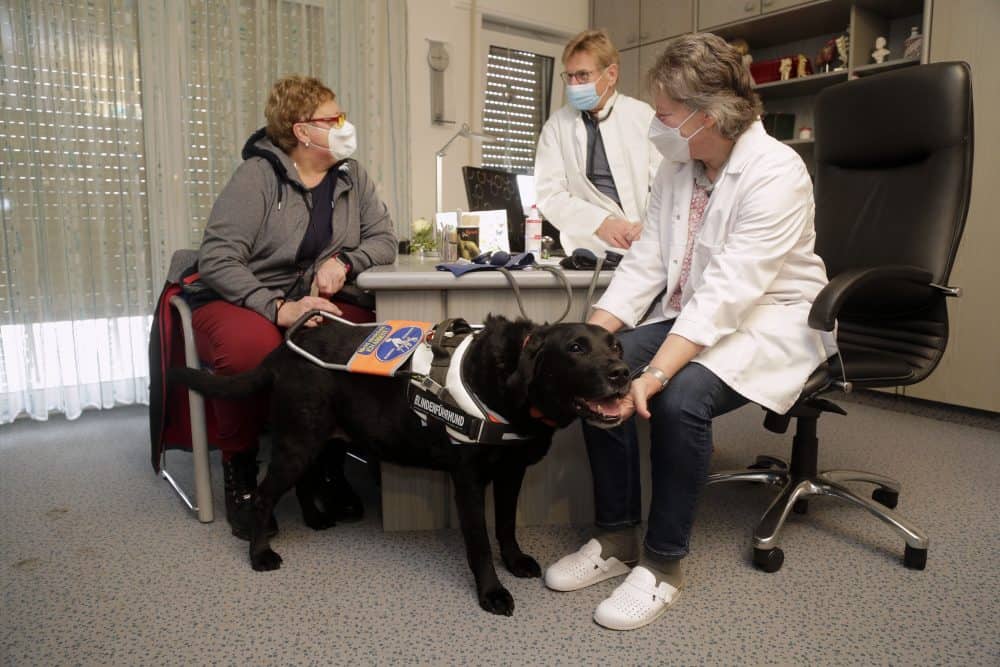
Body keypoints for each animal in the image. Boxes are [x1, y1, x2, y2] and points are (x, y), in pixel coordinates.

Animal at [168, 314, 628, 616]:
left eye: (616, 345)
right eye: (575, 348)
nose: (623, 373)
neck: (509, 383)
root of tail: (281, 351)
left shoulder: (512, 471)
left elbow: (506, 525)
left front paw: (514, 561)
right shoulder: (468, 480)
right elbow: (479, 542)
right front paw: (491, 592)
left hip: (323, 440)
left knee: (306, 481)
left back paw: (315, 518)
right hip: (299, 441)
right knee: (265, 496)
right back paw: (260, 553)